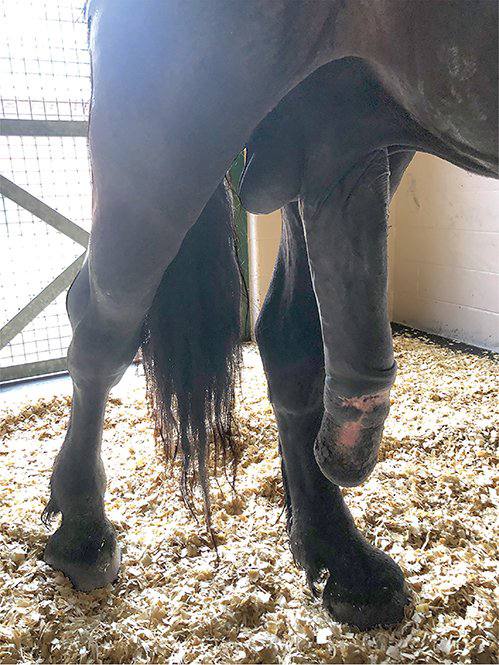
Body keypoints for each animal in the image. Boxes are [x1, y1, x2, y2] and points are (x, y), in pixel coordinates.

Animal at [40, 0, 497, 631]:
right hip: (179, 115)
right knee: (105, 325)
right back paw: (83, 532)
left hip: (338, 121)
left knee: (287, 338)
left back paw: (345, 560)